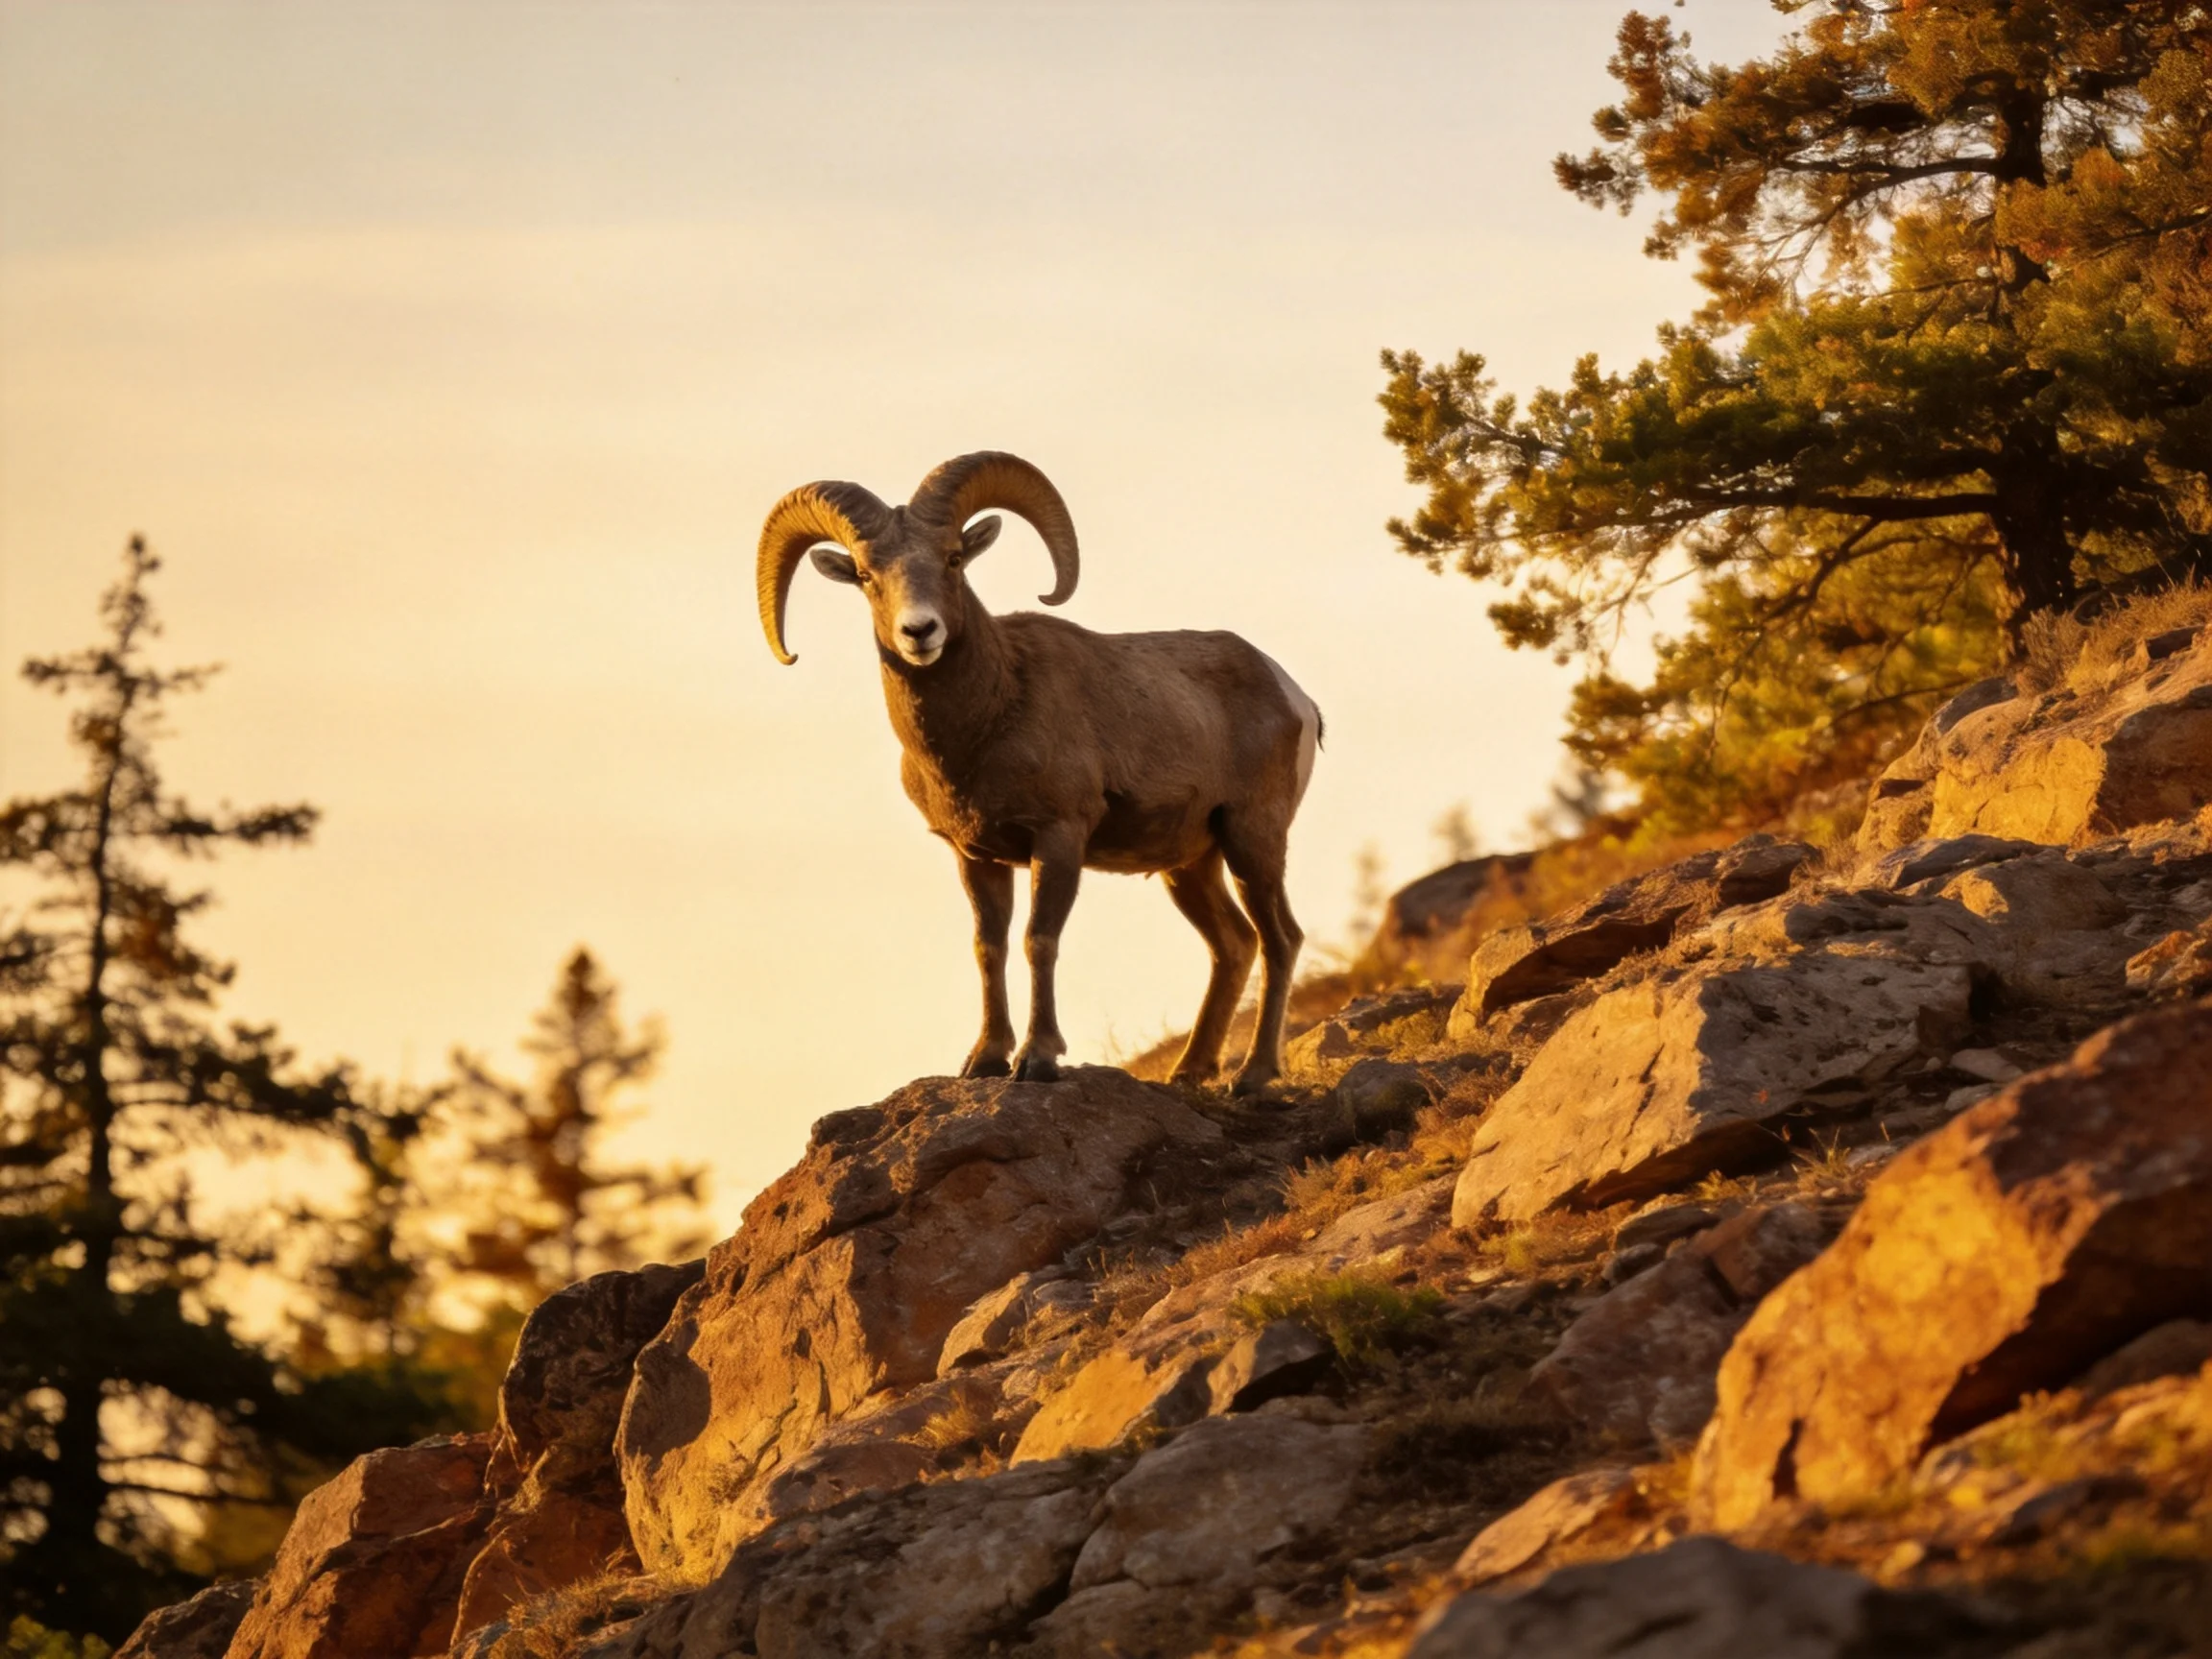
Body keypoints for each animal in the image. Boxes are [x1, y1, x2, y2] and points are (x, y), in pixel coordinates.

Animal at [756, 451, 1322, 1094]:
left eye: (953, 558)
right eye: (867, 575)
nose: (919, 632)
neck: (988, 721)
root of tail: (1296, 697)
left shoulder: (1058, 838)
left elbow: (1038, 940)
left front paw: (1038, 1059)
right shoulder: (976, 856)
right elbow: (990, 947)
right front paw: (985, 1059)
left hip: (1252, 839)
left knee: (1280, 939)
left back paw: (1252, 1075)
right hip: (1190, 865)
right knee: (1234, 944)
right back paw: (1190, 1071)